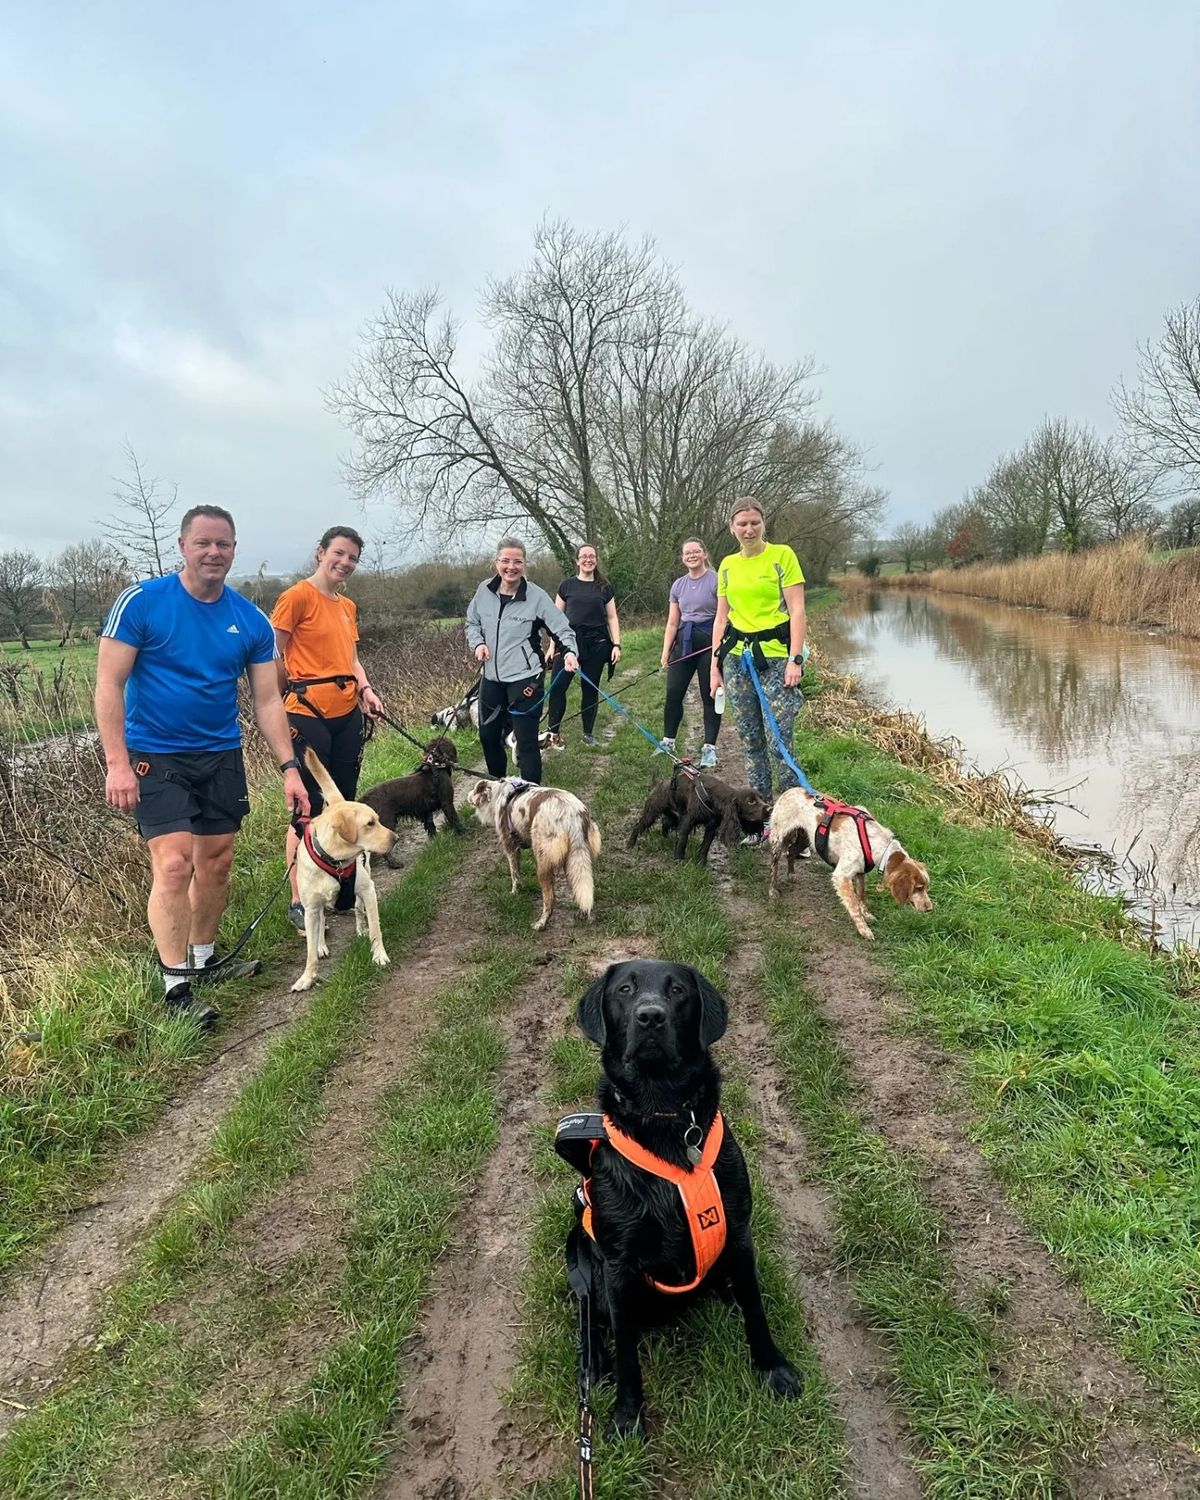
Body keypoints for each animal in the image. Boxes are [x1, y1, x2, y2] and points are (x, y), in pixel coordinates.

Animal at [627, 768, 768, 864]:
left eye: (762, 798)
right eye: (751, 801)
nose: (770, 808)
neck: (712, 797)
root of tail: (660, 782)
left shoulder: (712, 826)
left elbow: (705, 845)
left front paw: (701, 863)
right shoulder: (687, 821)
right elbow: (682, 841)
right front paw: (679, 860)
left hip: (674, 815)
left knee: (665, 823)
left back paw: (665, 839)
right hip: (652, 811)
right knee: (638, 826)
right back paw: (630, 845)